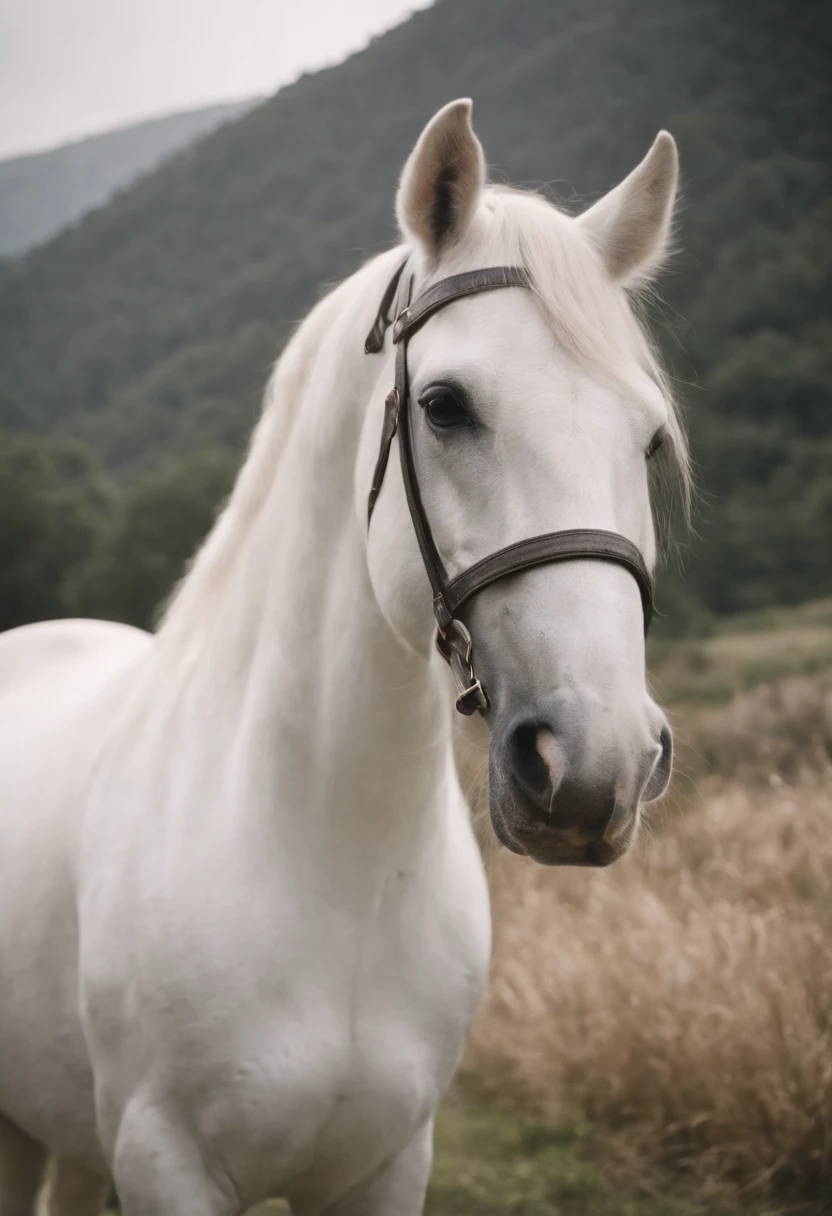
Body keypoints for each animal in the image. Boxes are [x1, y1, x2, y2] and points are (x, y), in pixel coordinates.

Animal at [0, 104, 686, 1216]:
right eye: (446, 405)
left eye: (651, 440)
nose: (599, 769)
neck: (335, 867)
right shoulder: (166, 1163)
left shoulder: (387, 1163)